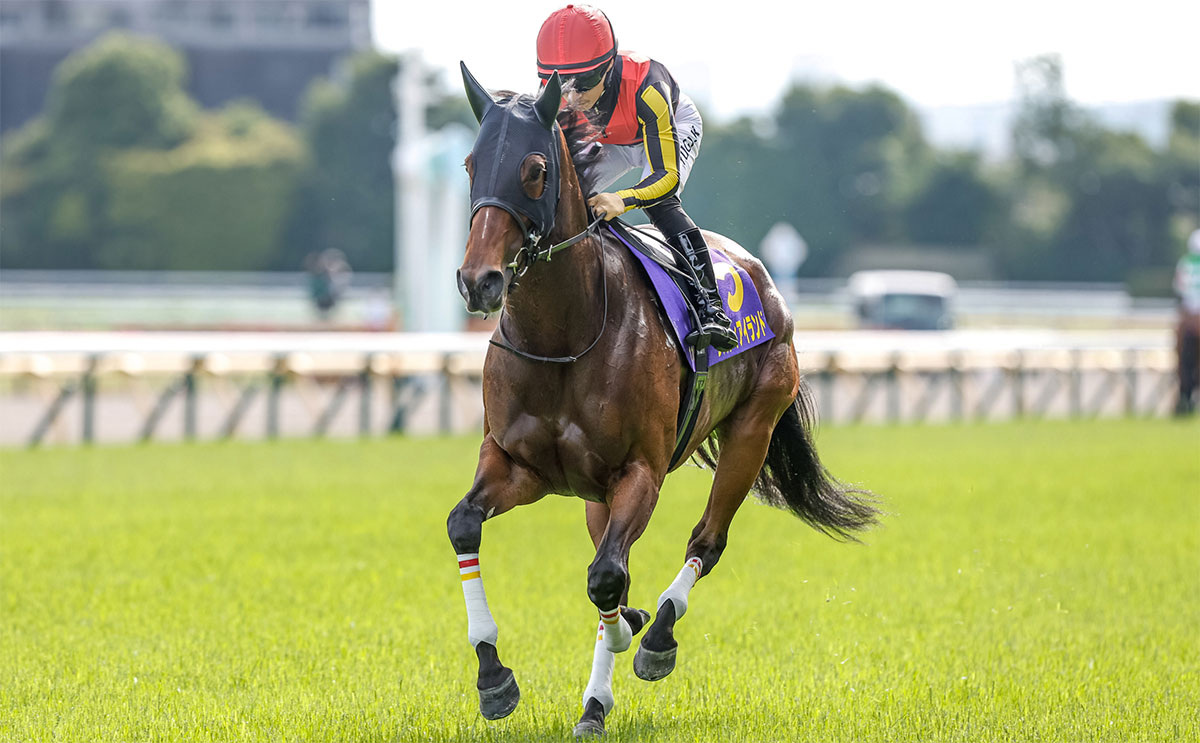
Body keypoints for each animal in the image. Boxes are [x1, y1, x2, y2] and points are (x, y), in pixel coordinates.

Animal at [446, 65, 878, 739]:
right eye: (470, 164)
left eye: (535, 169)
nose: (479, 281)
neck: (564, 336)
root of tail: (762, 276)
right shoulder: (520, 465)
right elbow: (466, 525)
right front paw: (494, 677)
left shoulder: (639, 472)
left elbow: (606, 576)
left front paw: (596, 702)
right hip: (594, 492)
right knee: (613, 558)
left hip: (752, 429)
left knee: (705, 541)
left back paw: (656, 637)